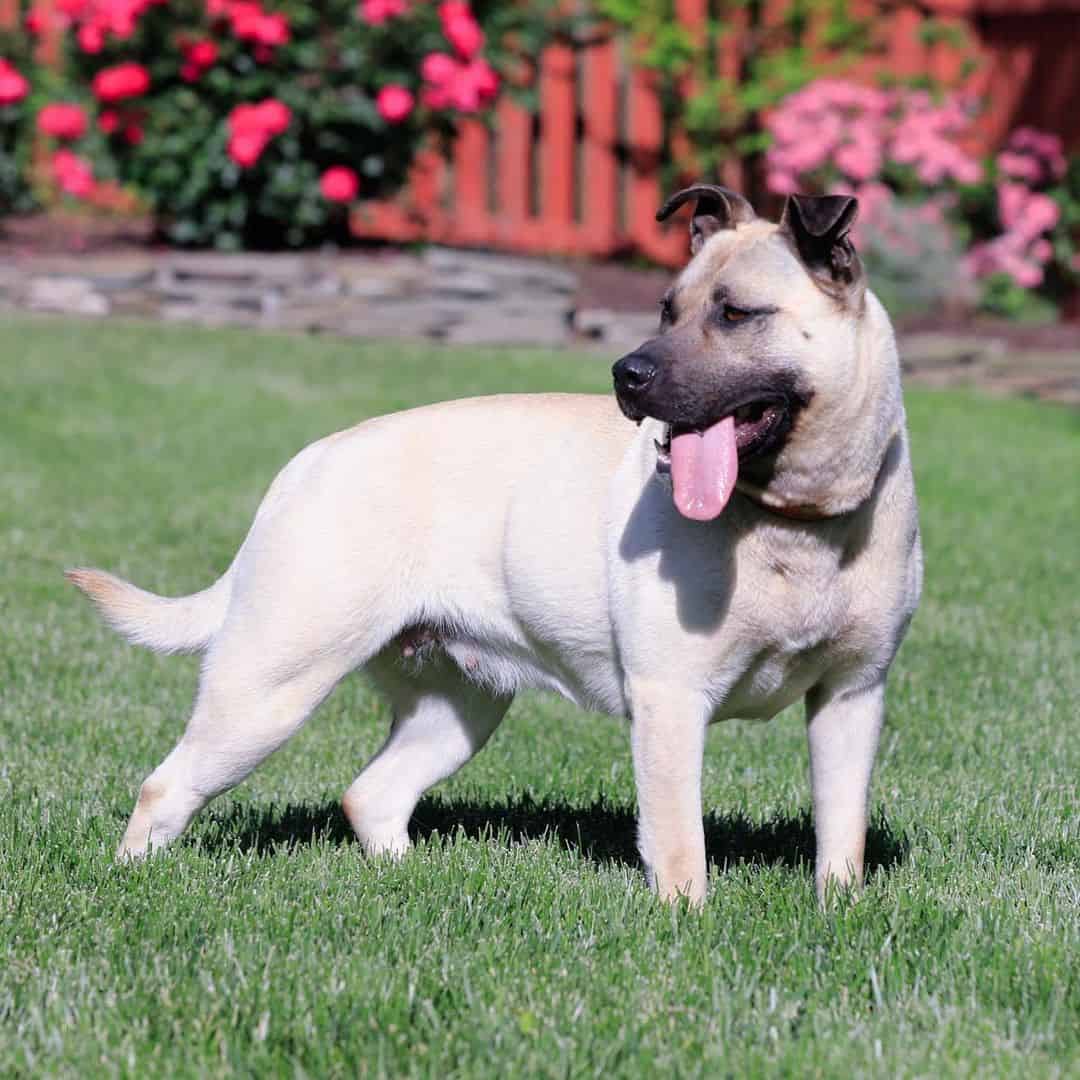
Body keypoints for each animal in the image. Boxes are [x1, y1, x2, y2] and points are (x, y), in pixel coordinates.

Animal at [65, 185, 920, 902]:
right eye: (665, 309)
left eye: (738, 315)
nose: (627, 373)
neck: (792, 522)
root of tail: (305, 465)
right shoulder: (672, 702)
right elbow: (680, 845)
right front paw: (688, 922)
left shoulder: (851, 700)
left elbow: (840, 833)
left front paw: (838, 911)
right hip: (268, 688)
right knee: (166, 789)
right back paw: (132, 879)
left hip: (458, 705)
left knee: (372, 794)